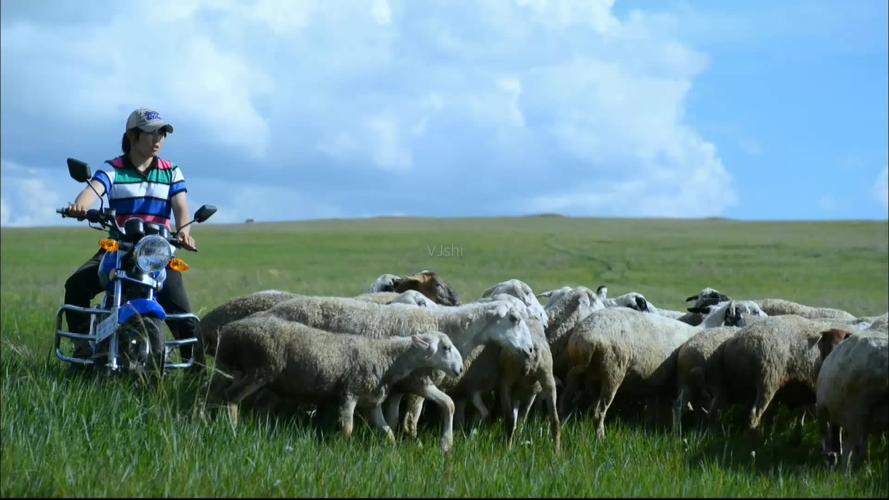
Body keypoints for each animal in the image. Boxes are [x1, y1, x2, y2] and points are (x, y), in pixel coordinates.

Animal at [207, 316, 458, 446]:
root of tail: (229, 331)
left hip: (238, 369)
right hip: (259, 369)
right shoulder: (348, 394)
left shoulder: (372, 403)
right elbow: (348, 428)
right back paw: (232, 429)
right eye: (445, 348)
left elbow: (387, 431)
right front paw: (340, 448)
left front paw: (393, 451)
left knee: (216, 393)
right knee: (231, 397)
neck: (386, 356)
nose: (459, 369)